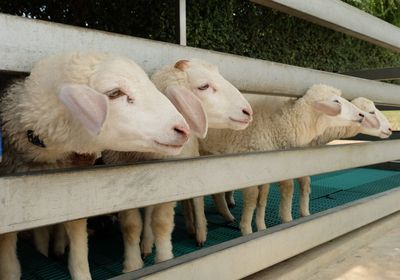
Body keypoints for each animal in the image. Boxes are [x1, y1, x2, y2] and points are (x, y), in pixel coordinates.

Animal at [103, 58, 253, 272]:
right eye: (204, 86)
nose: (248, 111)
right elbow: (131, 225)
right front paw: (132, 264)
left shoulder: (171, 179)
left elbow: (162, 222)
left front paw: (164, 259)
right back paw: (149, 243)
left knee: (196, 198)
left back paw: (199, 232)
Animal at [200, 84, 368, 235]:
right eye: (336, 101)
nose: (361, 115)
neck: (278, 123)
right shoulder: (249, 164)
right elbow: (254, 198)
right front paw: (247, 230)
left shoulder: (268, 167)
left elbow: (263, 198)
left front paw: (261, 227)